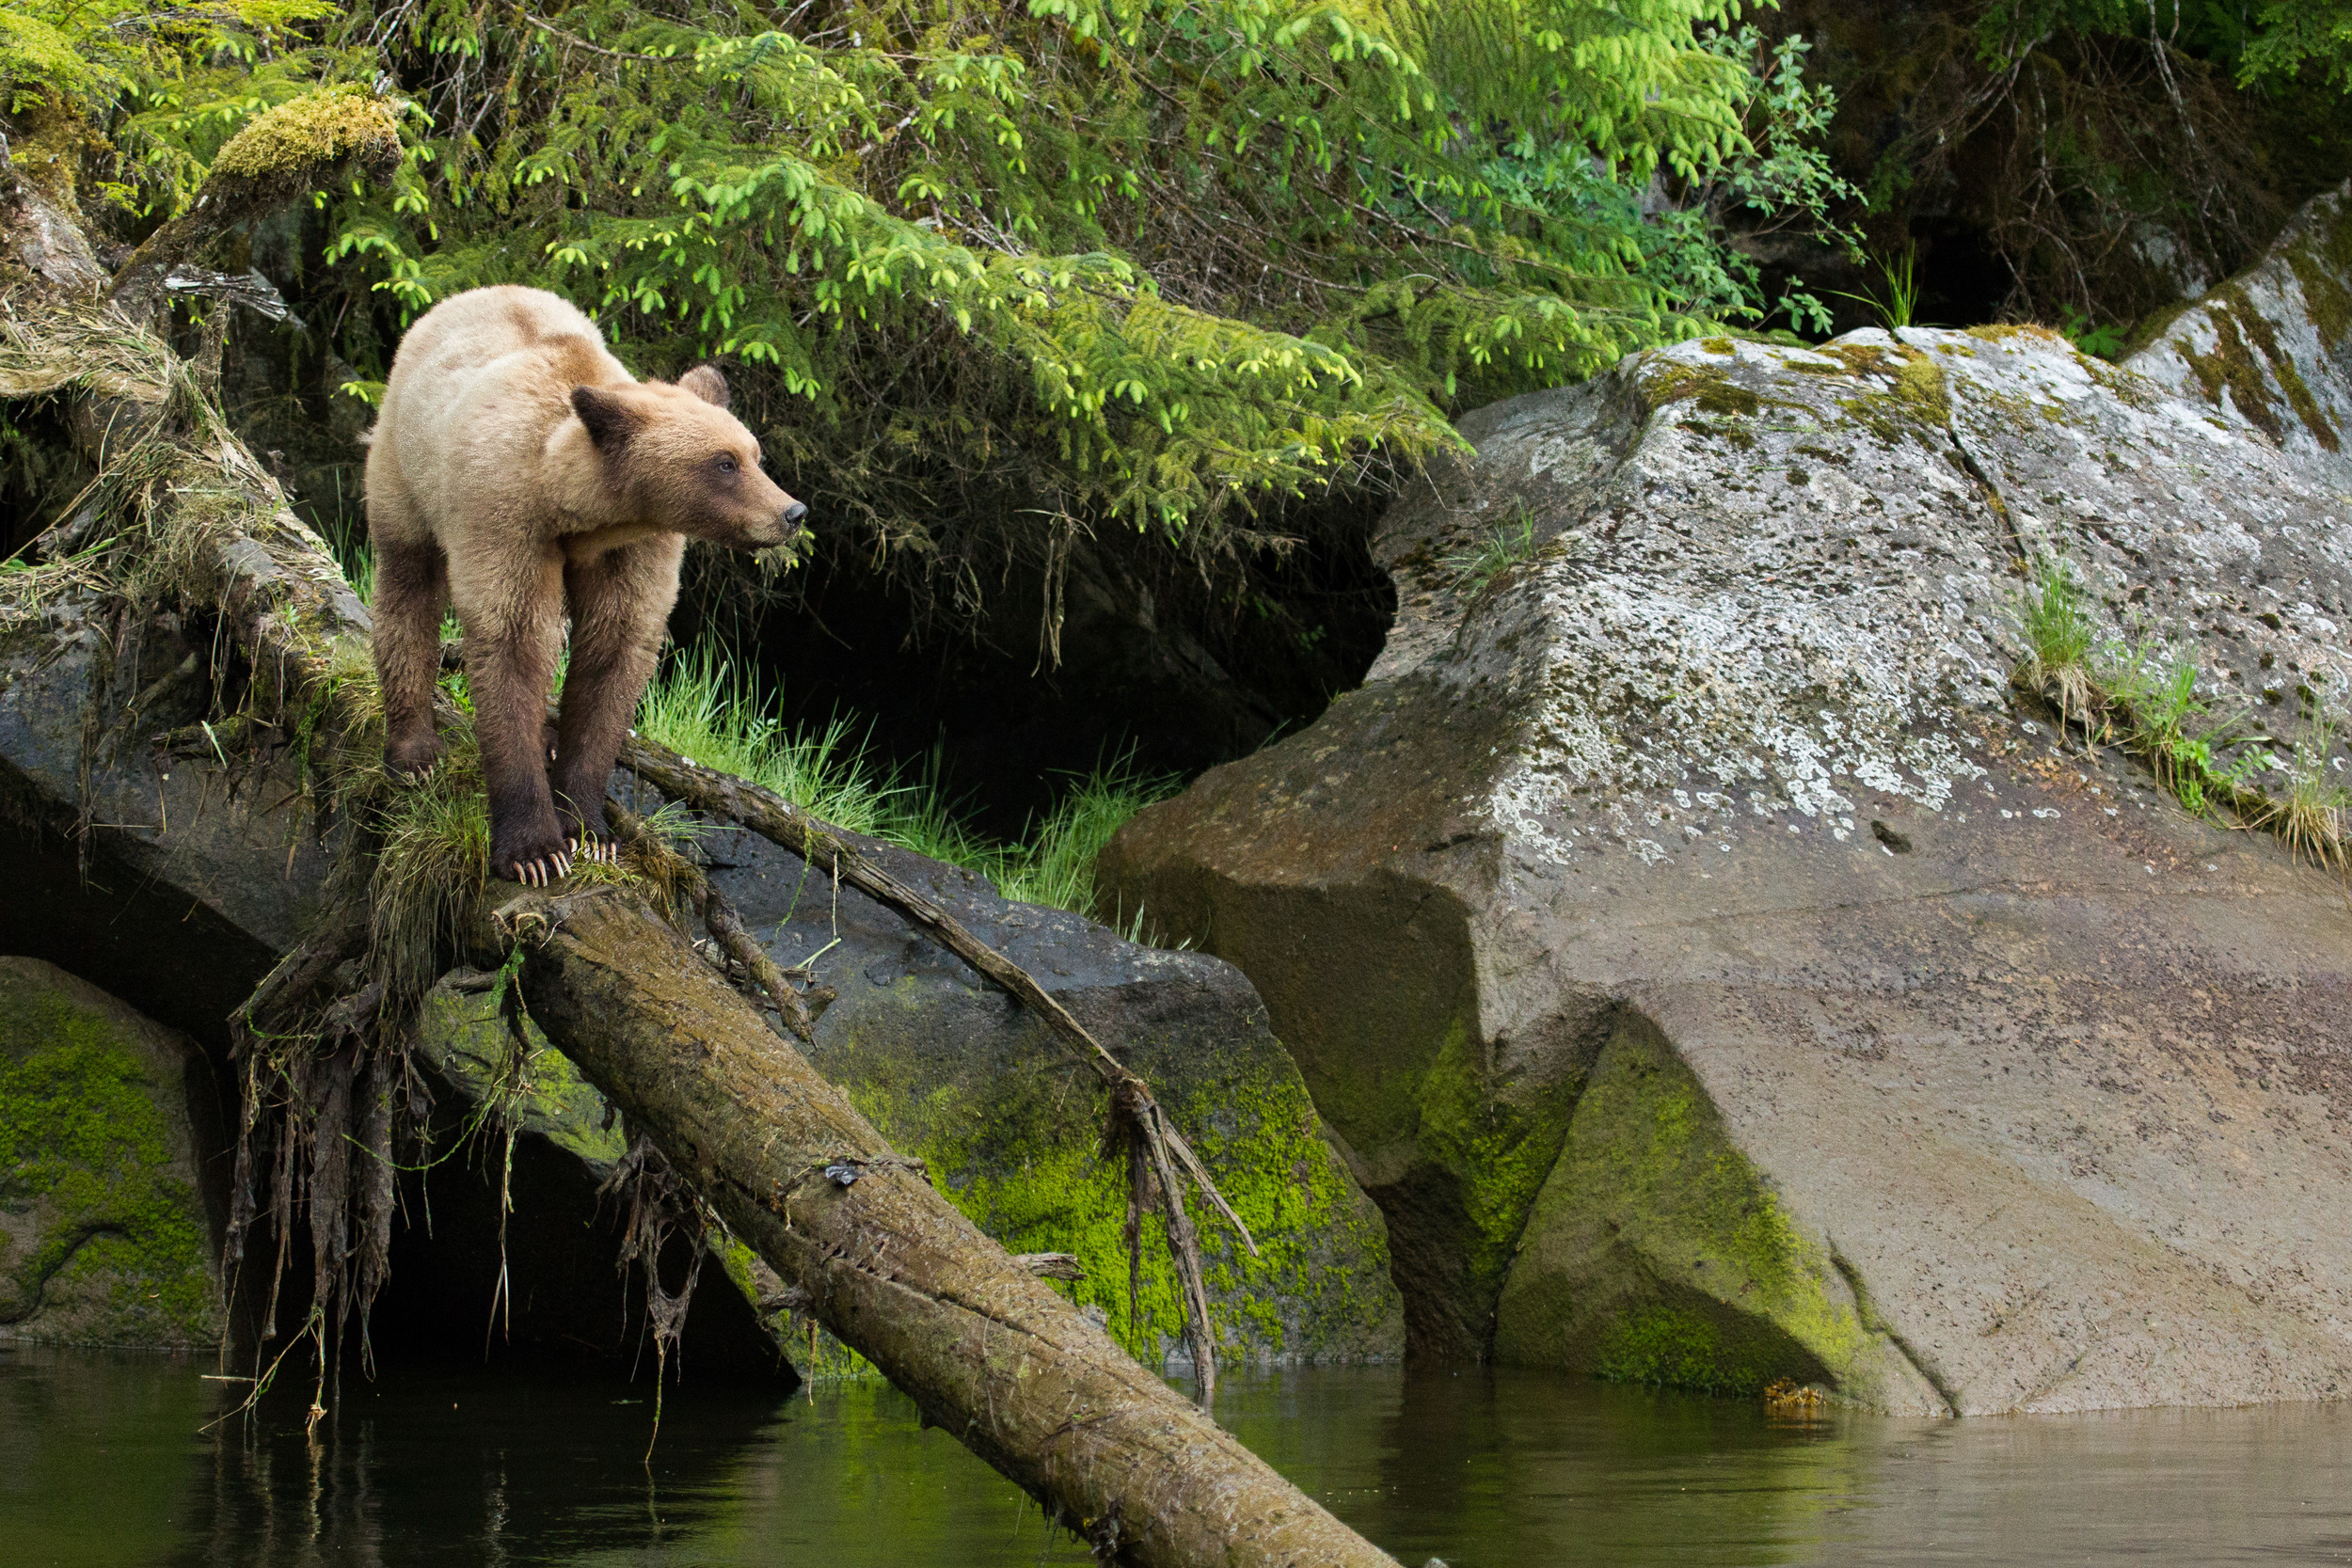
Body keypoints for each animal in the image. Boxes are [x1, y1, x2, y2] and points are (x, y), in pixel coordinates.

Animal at [362, 288, 809, 888]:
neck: (579, 507)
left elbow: (614, 652)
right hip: (404, 463)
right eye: (723, 462)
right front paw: (534, 850)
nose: (792, 512)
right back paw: (413, 750)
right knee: (407, 585)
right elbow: (513, 641)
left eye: (753, 455)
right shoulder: (503, 514)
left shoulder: (635, 548)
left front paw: (589, 829)